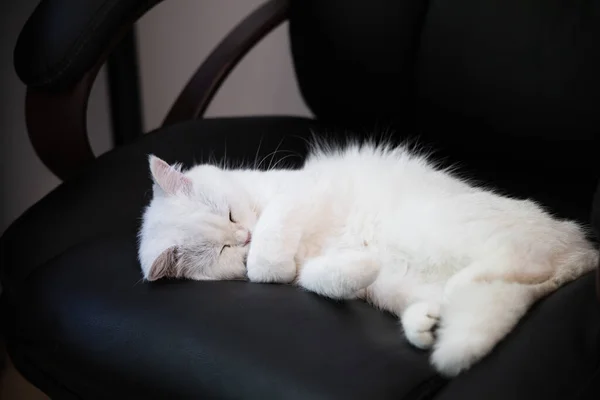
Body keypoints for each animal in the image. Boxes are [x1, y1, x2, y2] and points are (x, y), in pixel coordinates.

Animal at [138, 141, 596, 378]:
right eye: (222, 250)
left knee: (522, 265)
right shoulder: (315, 271)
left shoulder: (297, 194)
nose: (242, 237)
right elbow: (313, 278)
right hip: (400, 286)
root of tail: (580, 249)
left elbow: (267, 255)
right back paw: (428, 322)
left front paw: (268, 254)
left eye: (232, 216)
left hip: (443, 230)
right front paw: (355, 263)